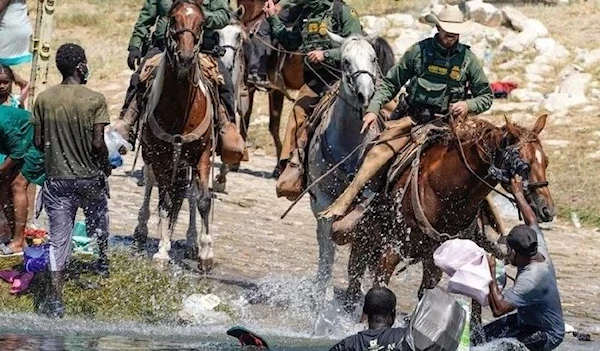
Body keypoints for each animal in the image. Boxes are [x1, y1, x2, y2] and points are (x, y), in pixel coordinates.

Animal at [134, 0, 216, 272]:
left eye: (202, 22)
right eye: (173, 19)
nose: (186, 57)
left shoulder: (202, 154)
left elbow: (202, 200)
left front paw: (206, 252)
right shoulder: (160, 158)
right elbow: (166, 203)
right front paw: (162, 251)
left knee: (188, 194)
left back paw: (191, 242)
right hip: (153, 157)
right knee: (152, 185)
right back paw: (142, 231)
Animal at [340, 116, 556, 310]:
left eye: (546, 162)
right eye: (525, 165)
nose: (548, 209)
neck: (445, 191)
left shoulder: (433, 258)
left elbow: (425, 294)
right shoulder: (392, 249)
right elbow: (379, 287)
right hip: (364, 237)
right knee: (354, 279)